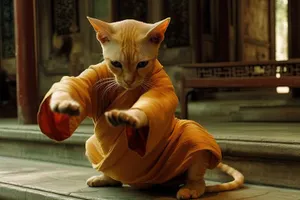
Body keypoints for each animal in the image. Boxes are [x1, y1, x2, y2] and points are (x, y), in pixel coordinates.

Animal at [39, 17, 245, 200]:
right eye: (116, 64)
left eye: (142, 64)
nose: (129, 81)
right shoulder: (95, 74)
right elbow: (75, 84)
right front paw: (62, 103)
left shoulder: (162, 86)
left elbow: (151, 105)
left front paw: (133, 117)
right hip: (92, 145)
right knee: (109, 168)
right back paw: (106, 178)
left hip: (192, 136)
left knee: (197, 170)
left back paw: (191, 188)